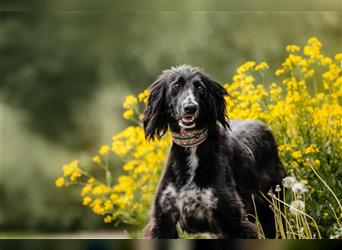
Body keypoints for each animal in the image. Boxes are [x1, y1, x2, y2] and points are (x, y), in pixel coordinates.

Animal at [142, 64, 286, 238]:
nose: (190, 108)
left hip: (272, 208)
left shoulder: (233, 222)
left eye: (200, 88)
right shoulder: (163, 220)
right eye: (176, 85)